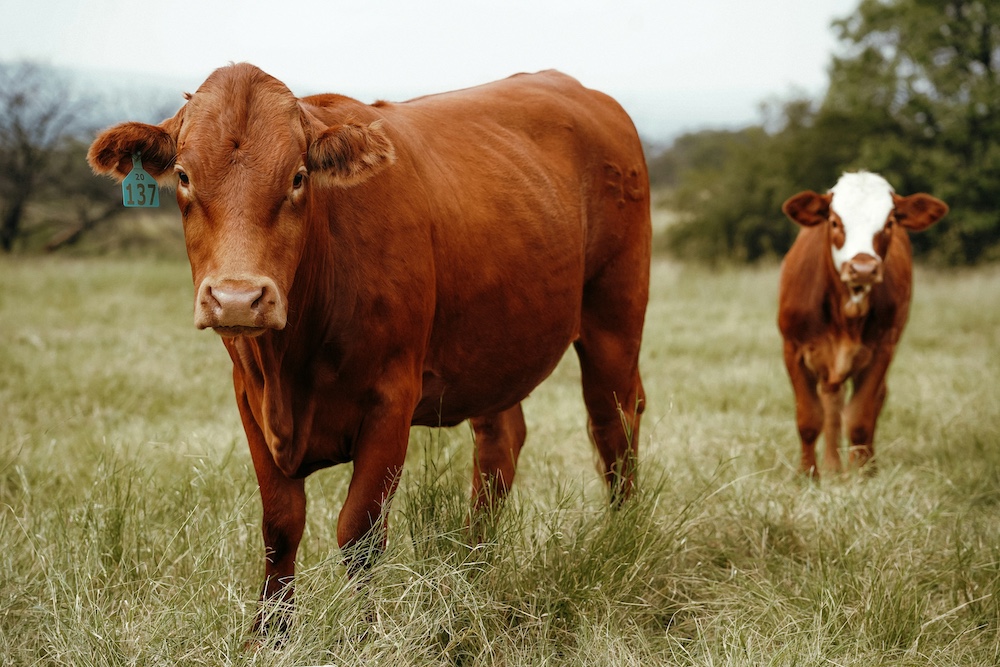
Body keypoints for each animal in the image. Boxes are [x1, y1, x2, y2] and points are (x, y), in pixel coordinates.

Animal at [87, 63, 650, 631]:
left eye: (298, 178)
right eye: (183, 176)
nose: (238, 299)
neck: (291, 365)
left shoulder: (391, 402)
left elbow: (359, 533)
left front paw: (363, 632)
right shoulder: (249, 396)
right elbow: (279, 528)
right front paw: (270, 634)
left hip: (614, 320)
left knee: (614, 426)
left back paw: (621, 541)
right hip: (496, 347)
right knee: (500, 445)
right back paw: (474, 570)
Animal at [779, 172, 947, 477]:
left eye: (889, 222)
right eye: (835, 221)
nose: (864, 268)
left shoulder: (882, 351)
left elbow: (860, 418)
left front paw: (862, 476)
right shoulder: (793, 349)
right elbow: (809, 419)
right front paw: (808, 475)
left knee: (871, 401)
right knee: (831, 404)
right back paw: (832, 467)